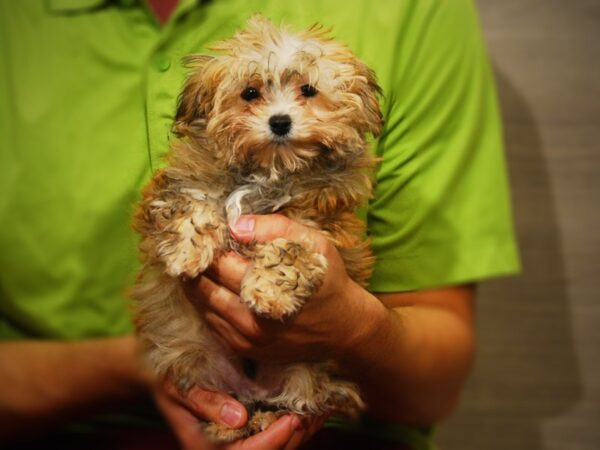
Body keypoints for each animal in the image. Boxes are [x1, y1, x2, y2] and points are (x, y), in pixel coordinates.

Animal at [132, 15, 384, 442]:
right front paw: (186, 249)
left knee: (300, 399)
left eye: (308, 90)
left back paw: (266, 417)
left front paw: (269, 289)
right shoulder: (181, 183)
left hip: (305, 371)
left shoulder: (322, 225)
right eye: (250, 93)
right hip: (197, 358)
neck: (270, 170)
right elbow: (189, 202)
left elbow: (292, 245)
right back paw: (229, 422)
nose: (280, 121)